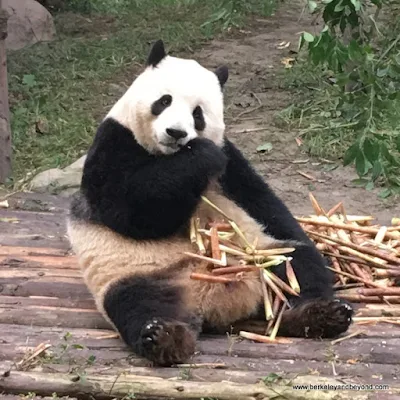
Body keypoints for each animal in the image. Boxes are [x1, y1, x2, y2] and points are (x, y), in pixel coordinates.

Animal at [67, 39, 352, 366]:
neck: (169, 156)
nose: (176, 133)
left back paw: (319, 314)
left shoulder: (231, 164)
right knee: (138, 304)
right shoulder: (113, 143)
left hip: (265, 255)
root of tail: (213, 304)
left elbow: (264, 204)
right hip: (137, 276)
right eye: (164, 100)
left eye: (198, 114)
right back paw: (164, 337)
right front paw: (199, 157)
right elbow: (131, 213)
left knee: (297, 268)